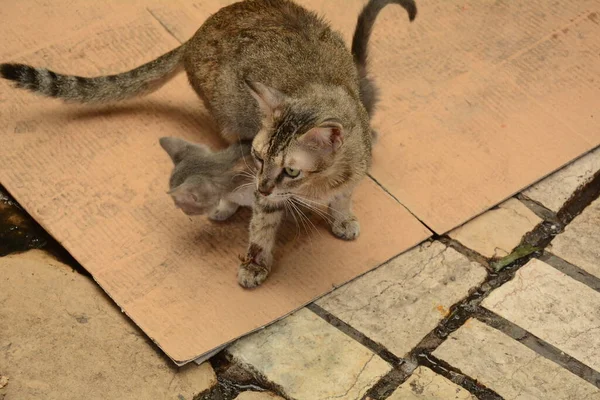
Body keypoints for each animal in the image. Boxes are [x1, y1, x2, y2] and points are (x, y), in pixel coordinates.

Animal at [1, 0, 418, 288]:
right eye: (259, 157)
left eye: (291, 170)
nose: (261, 184)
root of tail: (197, 33)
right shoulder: (259, 186)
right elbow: (261, 228)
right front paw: (255, 262)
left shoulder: (349, 171)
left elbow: (345, 195)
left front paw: (343, 217)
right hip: (226, 115)